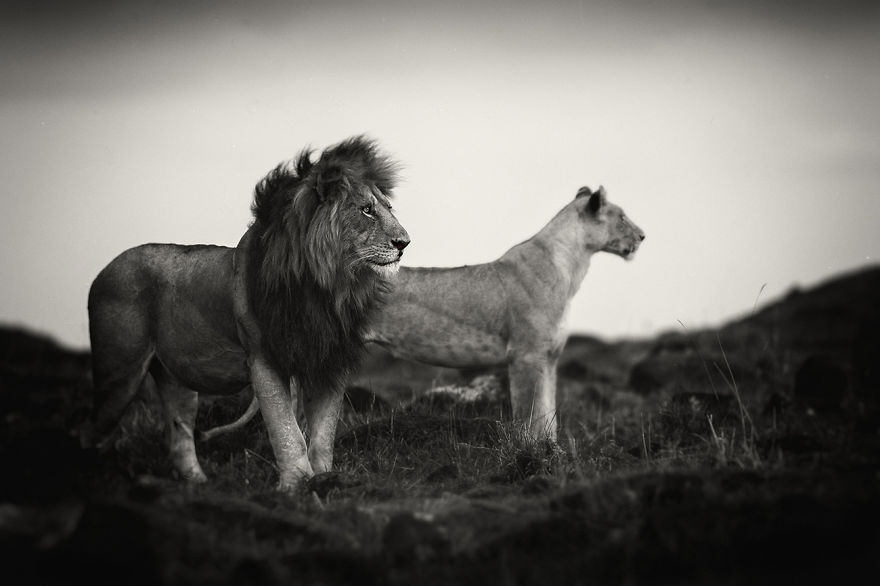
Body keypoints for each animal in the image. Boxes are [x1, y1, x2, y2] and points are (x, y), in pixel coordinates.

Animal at [85, 135, 410, 491]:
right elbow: (287, 432)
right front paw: (295, 486)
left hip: (175, 378)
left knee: (179, 436)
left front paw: (326, 479)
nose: (405, 242)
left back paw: (200, 486)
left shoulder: (328, 361)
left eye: (389, 208)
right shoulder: (264, 359)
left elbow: (323, 435)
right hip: (120, 373)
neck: (329, 287)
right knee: (92, 433)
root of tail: (104, 270)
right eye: (367, 210)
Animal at [205, 185, 643, 443]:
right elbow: (530, 413)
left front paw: (552, 451)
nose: (643, 236)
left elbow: (549, 411)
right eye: (621, 216)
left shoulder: (549, 358)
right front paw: (533, 454)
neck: (572, 267)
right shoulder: (526, 355)